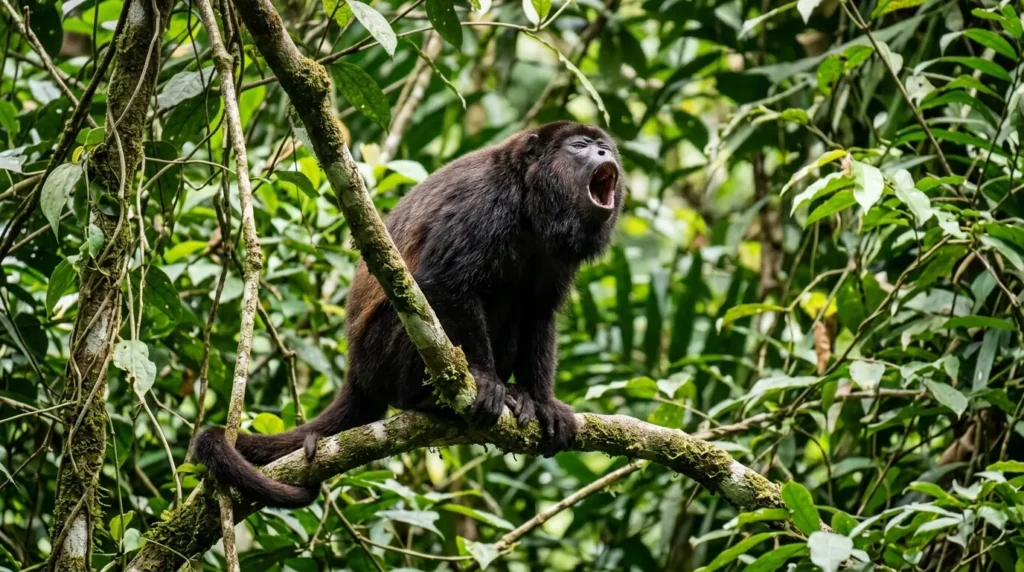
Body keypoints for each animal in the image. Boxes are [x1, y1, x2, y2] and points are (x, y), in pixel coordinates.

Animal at [194, 121, 625, 508]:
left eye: (604, 147)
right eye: (580, 146)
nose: (605, 155)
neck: (531, 201)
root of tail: (356, 371)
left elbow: (539, 313)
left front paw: (542, 401)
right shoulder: (485, 201)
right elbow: (447, 281)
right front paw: (485, 380)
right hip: (382, 357)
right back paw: (434, 399)